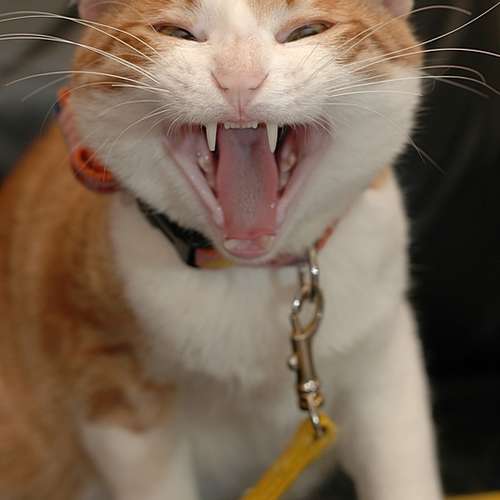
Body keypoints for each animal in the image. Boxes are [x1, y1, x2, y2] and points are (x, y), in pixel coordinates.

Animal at [0, 0, 444, 499]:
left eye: (307, 30)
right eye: (175, 32)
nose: (239, 80)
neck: (247, 274)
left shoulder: (384, 355)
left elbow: (400, 464)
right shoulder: (114, 390)